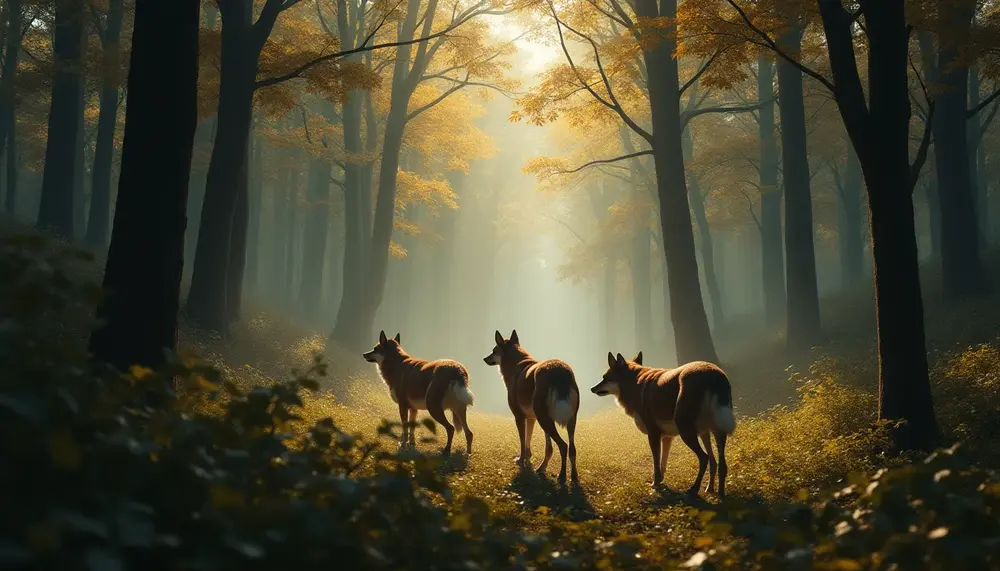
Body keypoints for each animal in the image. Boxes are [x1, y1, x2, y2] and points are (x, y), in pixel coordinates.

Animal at [483, 329, 580, 483]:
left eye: (494, 351)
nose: (485, 359)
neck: (516, 362)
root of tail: (559, 371)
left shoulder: (519, 417)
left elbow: (523, 442)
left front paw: (521, 460)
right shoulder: (531, 418)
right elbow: (530, 440)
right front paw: (529, 458)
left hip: (545, 420)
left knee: (563, 446)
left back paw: (562, 475)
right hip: (568, 421)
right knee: (570, 449)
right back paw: (570, 476)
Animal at [590, 352, 736, 499]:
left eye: (605, 378)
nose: (592, 389)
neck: (635, 384)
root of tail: (713, 373)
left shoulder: (653, 435)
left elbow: (656, 463)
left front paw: (655, 485)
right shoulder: (666, 437)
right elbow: (663, 463)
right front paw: (660, 481)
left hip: (687, 433)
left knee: (704, 458)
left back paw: (694, 489)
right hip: (710, 432)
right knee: (719, 464)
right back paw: (716, 492)